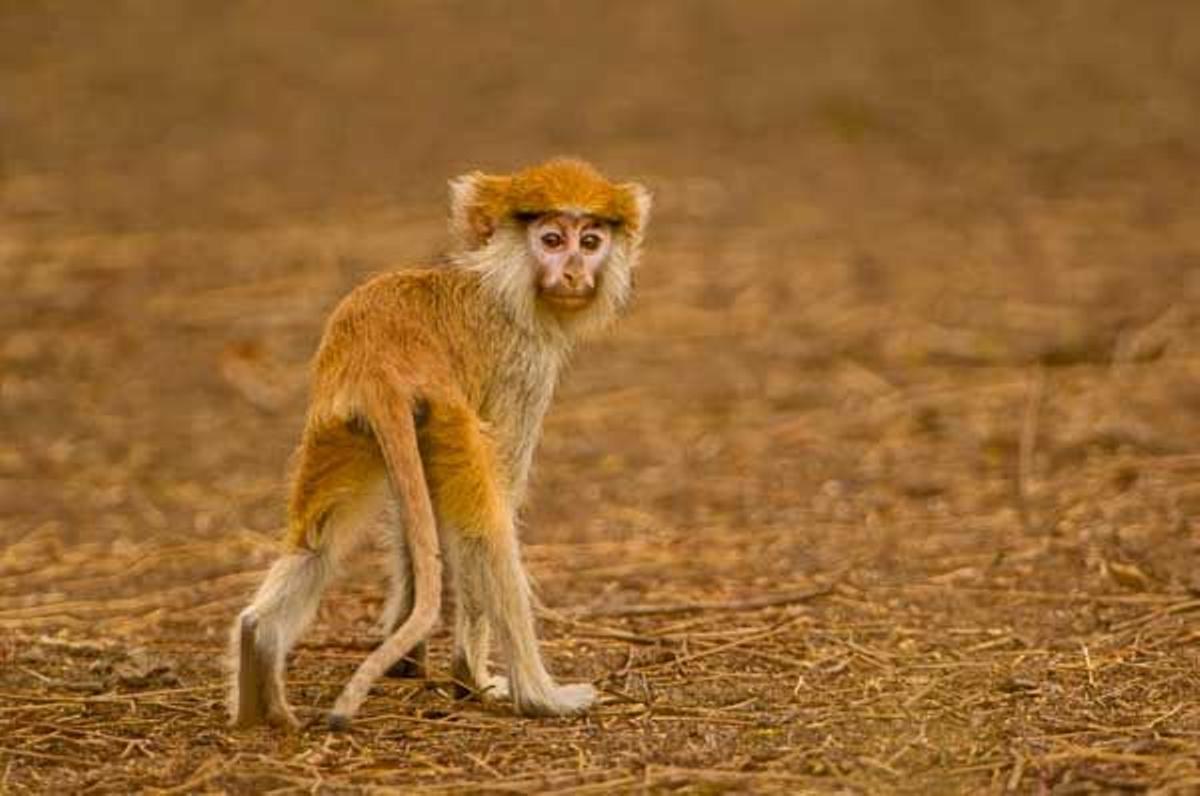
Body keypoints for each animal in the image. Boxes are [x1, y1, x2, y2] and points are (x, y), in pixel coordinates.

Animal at [228, 158, 652, 729]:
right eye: (551, 239)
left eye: (590, 241)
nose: (573, 273)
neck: (497, 281)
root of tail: (379, 363)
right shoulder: (525, 366)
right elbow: (486, 516)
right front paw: (470, 679)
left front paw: (409, 657)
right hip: (443, 415)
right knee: (490, 531)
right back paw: (537, 695)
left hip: (338, 423)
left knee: (317, 541)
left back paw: (259, 649)